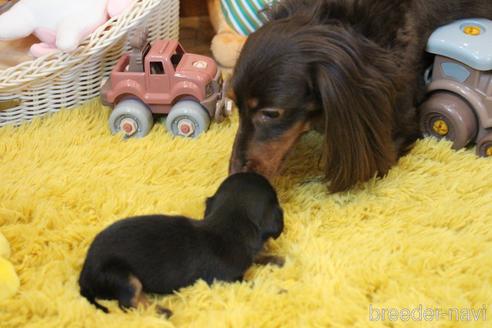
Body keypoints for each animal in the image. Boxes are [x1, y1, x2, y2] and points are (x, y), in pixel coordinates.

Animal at [78, 173, 284, 314]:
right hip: (122, 277)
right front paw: (279, 289)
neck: (227, 223)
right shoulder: (229, 280)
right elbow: (256, 282)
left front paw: (275, 259)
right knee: (128, 302)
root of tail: (84, 275)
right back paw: (161, 311)